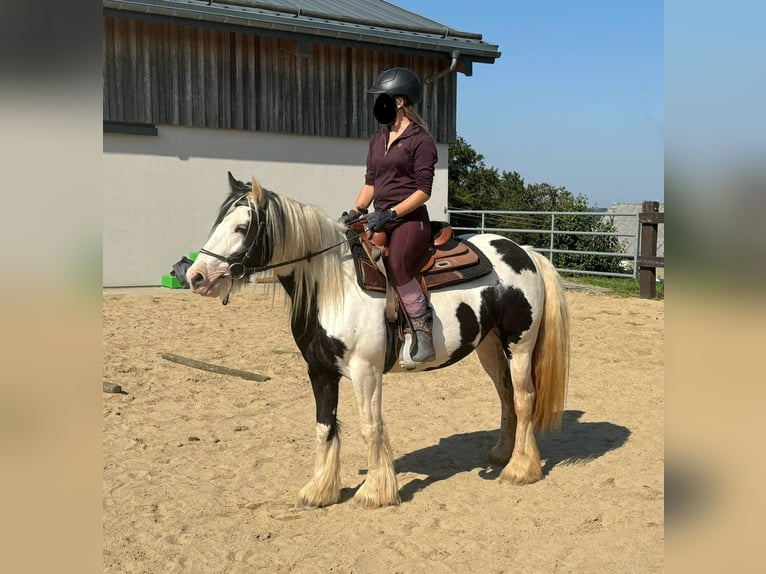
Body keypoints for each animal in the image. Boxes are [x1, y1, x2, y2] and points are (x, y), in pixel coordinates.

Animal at [186, 172, 568, 508]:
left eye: (241, 227)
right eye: (217, 222)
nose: (195, 276)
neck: (333, 286)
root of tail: (525, 251)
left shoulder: (365, 371)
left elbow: (370, 427)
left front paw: (375, 492)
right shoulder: (319, 371)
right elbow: (324, 426)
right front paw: (320, 491)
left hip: (519, 345)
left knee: (523, 398)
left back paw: (520, 468)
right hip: (488, 346)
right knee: (505, 396)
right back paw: (502, 454)